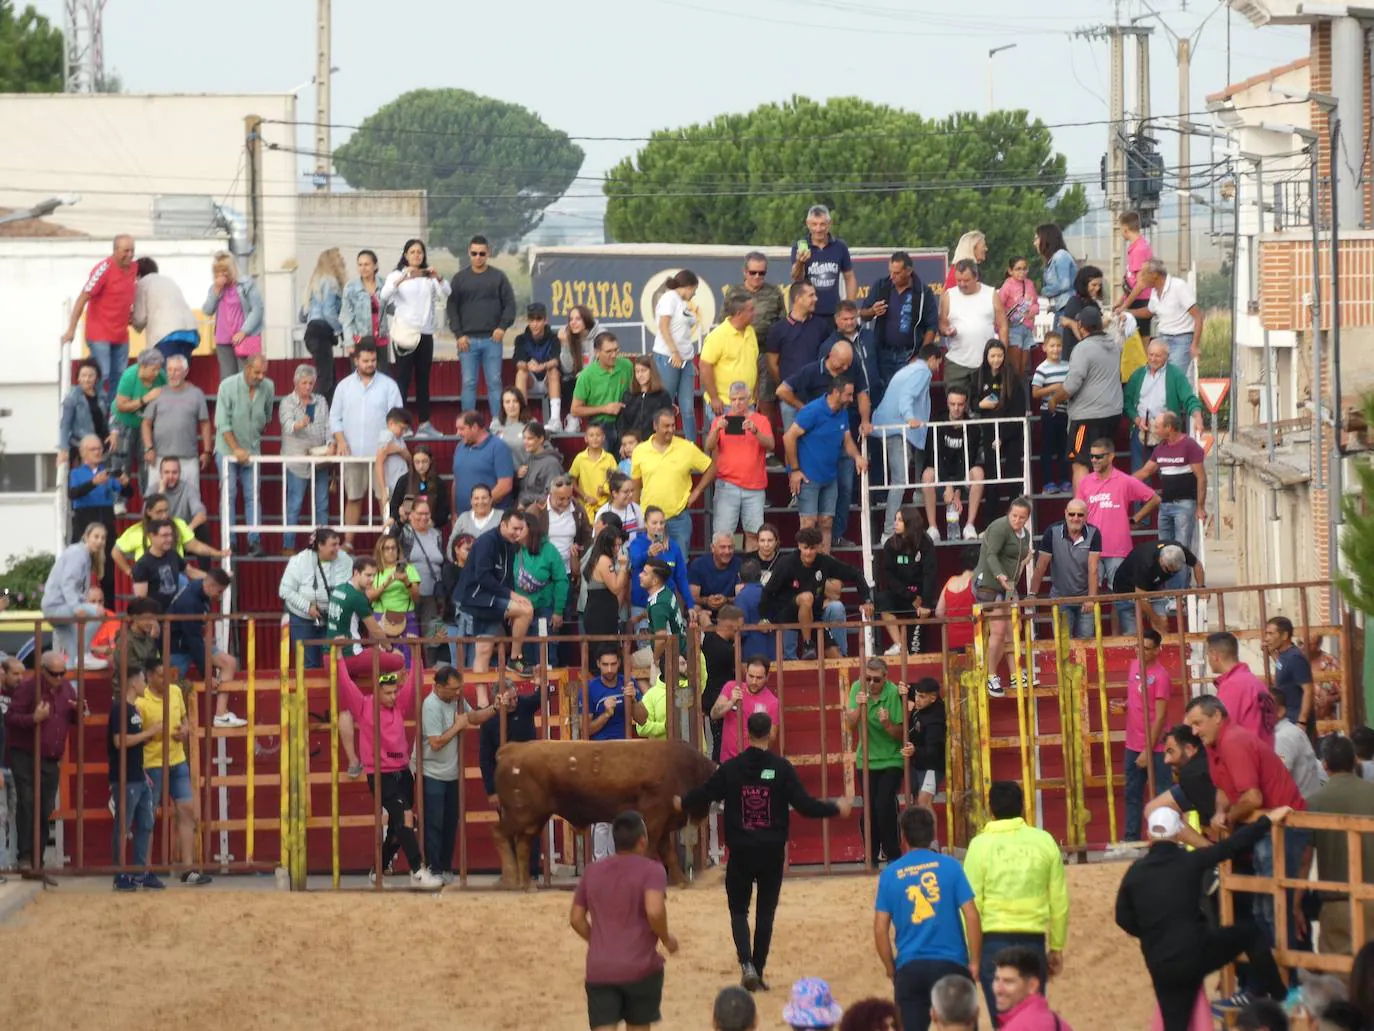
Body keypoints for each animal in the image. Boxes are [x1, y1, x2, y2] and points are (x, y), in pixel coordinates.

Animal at [491, 742, 714, 890]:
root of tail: (512, 749)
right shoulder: (654, 819)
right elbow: (651, 850)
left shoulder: (663, 824)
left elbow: (669, 853)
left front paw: (682, 881)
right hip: (520, 814)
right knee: (500, 833)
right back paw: (510, 878)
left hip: (533, 818)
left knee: (523, 844)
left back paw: (526, 885)